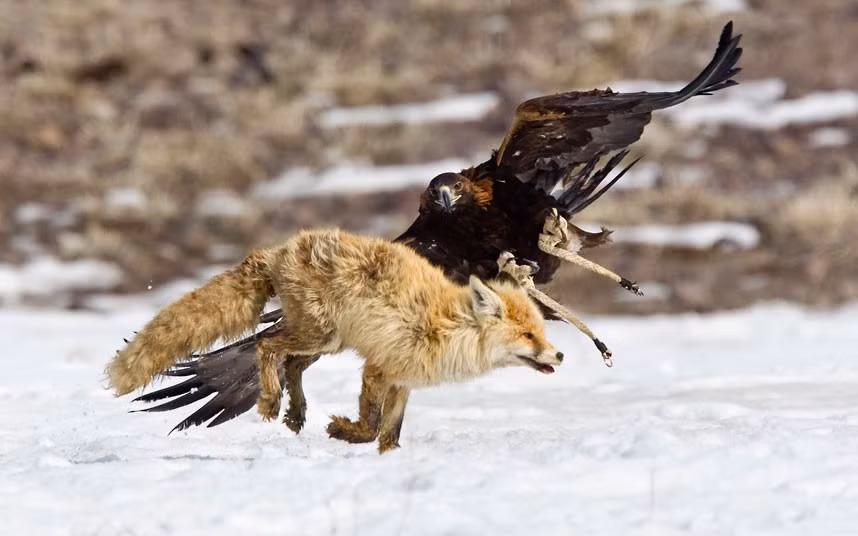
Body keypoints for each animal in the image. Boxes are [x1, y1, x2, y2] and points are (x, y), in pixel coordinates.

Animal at [106, 228, 564, 453]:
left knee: (289, 362)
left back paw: (295, 413)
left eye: (541, 331)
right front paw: (342, 431)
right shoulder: (378, 368)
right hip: (319, 334)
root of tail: (279, 251)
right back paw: (272, 403)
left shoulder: (403, 381)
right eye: (527, 335)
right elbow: (370, 426)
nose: (559, 353)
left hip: (327, 342)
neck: (443, 327)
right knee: (266, 348)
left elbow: (388, 435)